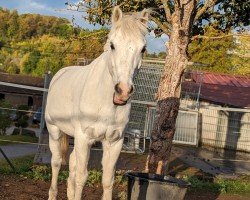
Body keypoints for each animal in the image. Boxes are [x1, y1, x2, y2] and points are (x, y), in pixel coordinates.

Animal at [45, 6, 148, 200]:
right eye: (112, 45)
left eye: (143, 49)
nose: (123, 91)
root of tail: (59, 74)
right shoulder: (84, 138)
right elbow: (81, 177)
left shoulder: (114, 142)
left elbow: (107, 180)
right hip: (54, 131)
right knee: (56, 163)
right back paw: (52, 194)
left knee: (71, 162)